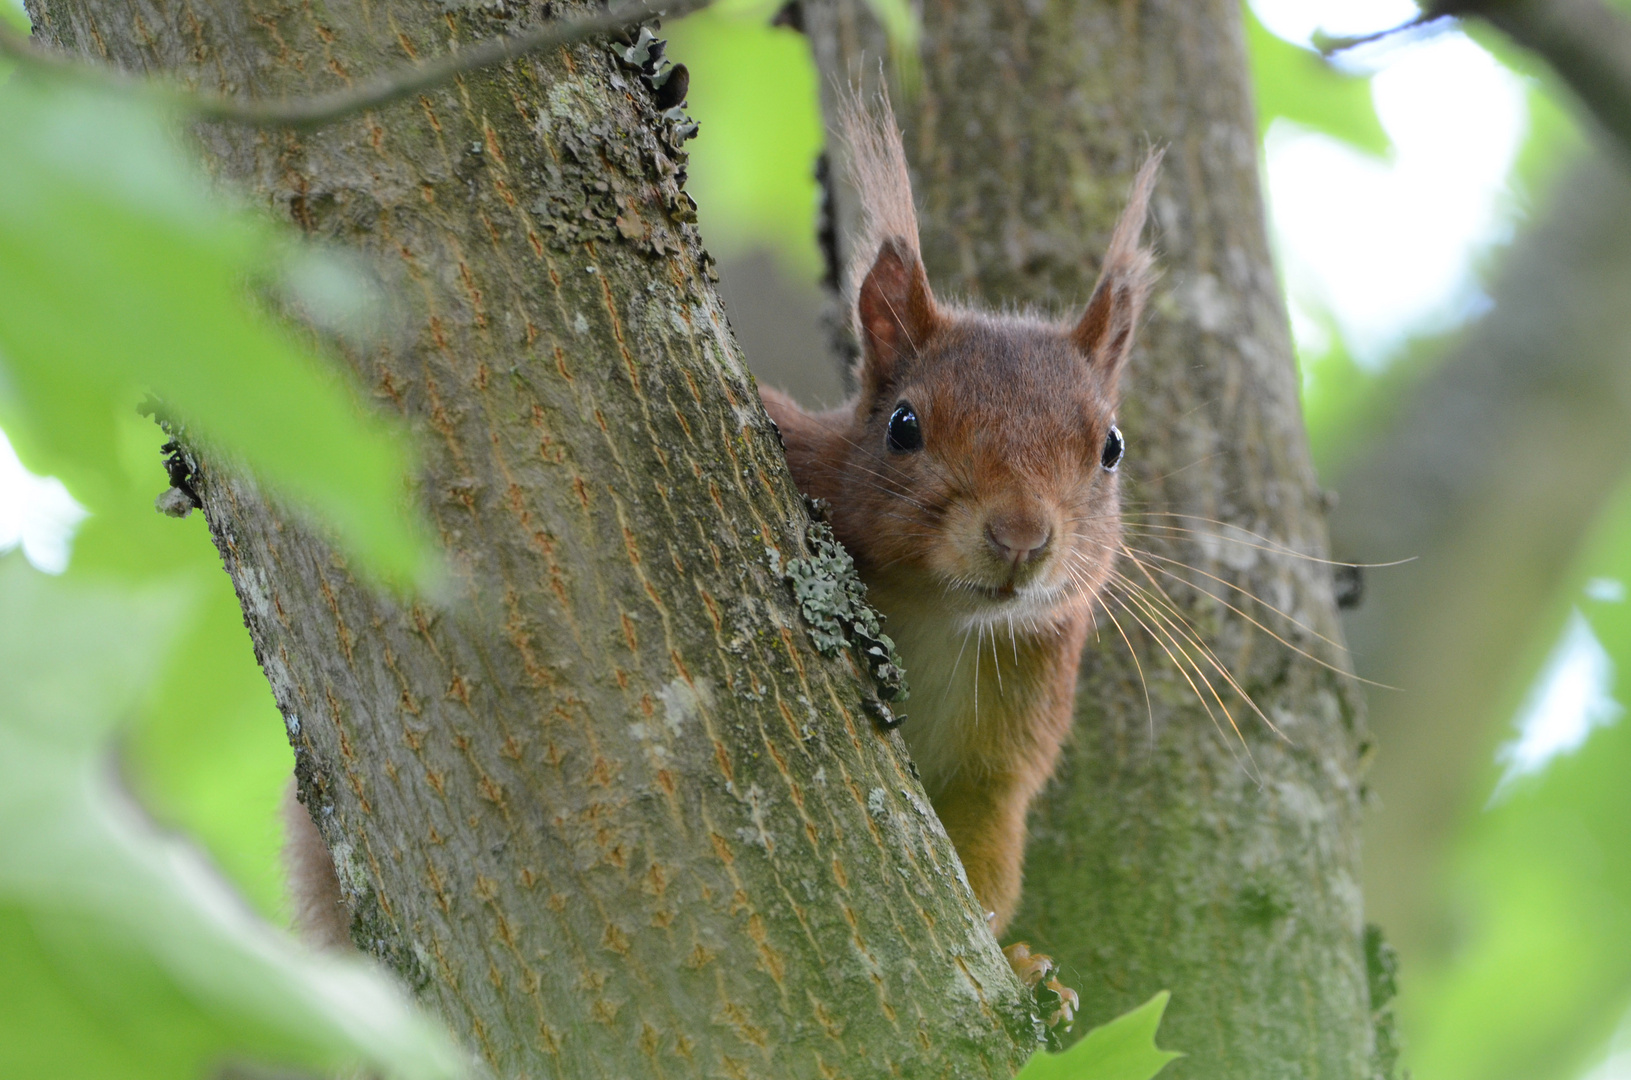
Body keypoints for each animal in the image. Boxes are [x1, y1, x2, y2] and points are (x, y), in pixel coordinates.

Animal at [760, 99, 1161, 946]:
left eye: (1111, 447)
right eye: (903, 426)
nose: (1020, 539)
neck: (941, 617)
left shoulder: (1005, 751)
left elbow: (985, 860)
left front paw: (1024, 962)